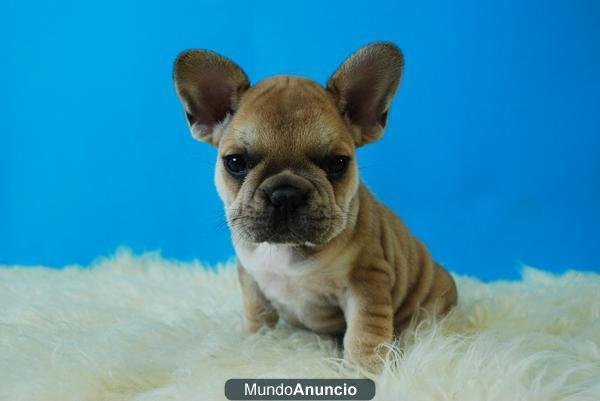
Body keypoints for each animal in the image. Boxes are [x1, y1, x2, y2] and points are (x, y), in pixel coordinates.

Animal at [173, 42, 460, 370]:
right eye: (235, 162)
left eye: (337, 164)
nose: (286, 194)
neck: (287, 251)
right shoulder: (251, 279)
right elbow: (257, 314)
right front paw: (255, 342)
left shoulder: (367, 281)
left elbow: (365, 331)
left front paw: (365, 369)